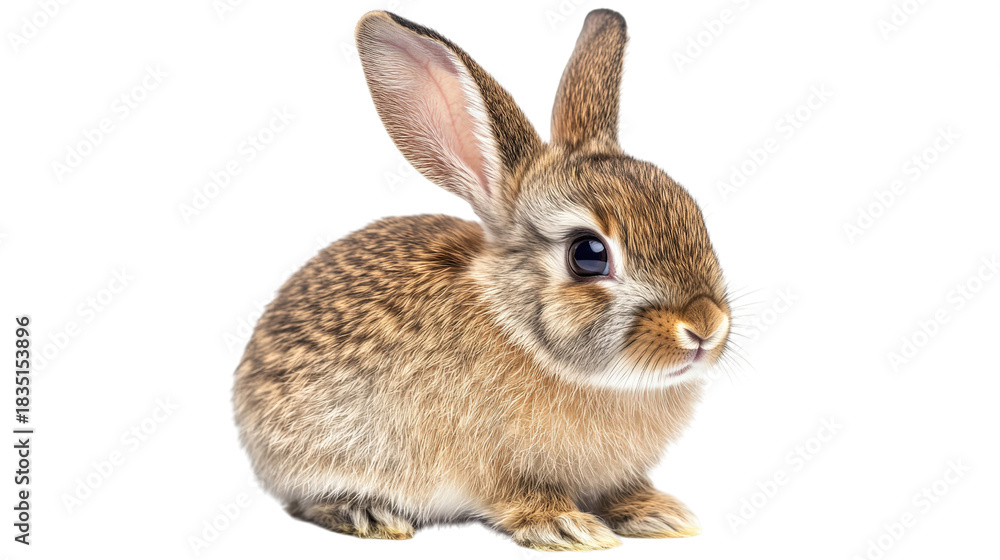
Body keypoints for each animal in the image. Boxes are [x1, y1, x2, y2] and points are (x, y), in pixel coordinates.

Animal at [233, 8, 732, 552]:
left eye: (695, 216)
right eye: (588, 254)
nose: (705, 325)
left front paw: (657, 513)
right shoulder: (489, 466)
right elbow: (519, 496)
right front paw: (565, 526)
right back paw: (368, 514)